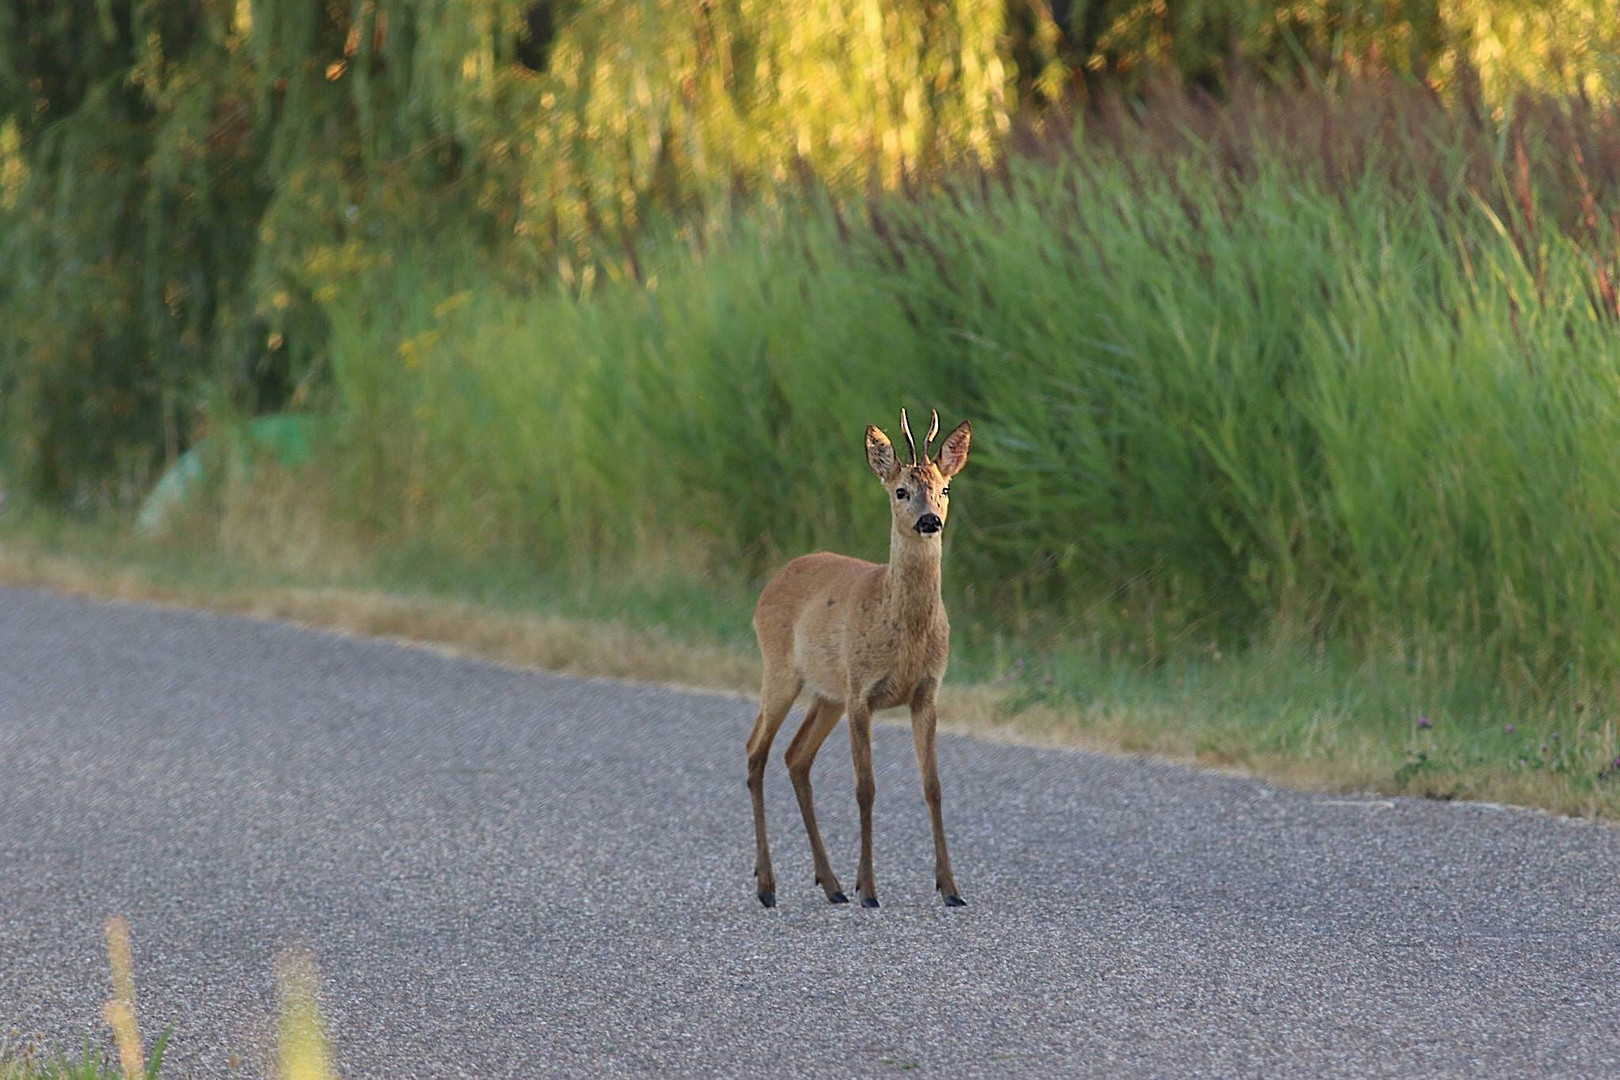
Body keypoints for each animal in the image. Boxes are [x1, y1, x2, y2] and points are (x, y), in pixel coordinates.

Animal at [745, 409, 972, 906]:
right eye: (901, 490)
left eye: (945, 489)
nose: (930, 520)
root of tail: (773, 581)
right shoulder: (861, 694)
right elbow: (865, 788)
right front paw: (868, 886)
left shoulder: (926, 693)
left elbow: (934, 787)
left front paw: (950, 887)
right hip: (782, 670)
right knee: (756, 751)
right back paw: (768, 885)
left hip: (827, 694)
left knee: (796, 756)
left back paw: (829, 884)